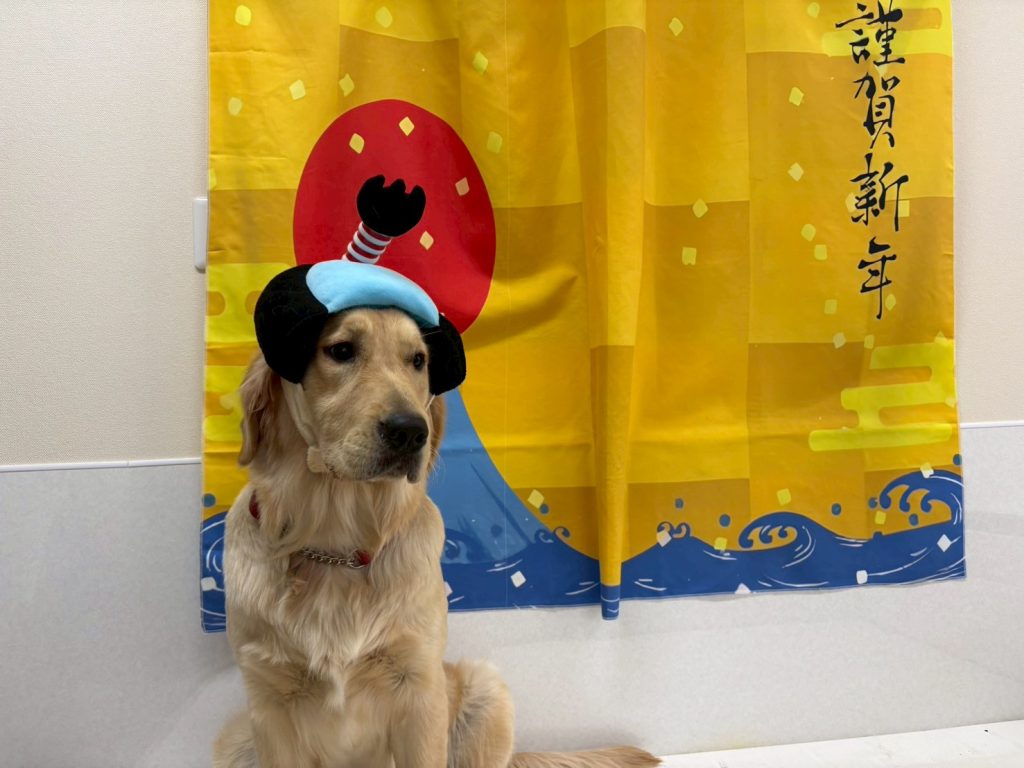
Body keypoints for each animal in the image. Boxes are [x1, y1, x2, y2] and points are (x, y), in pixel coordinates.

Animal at [213, 307, 659, 768]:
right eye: (340, 350)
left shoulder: (419, 690)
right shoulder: (270, 705)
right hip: (235, 739)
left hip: (487, 692)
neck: (336, 547)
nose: (411, 431)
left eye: (417, 360)